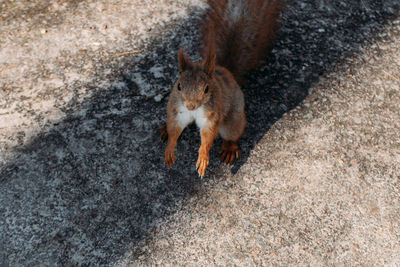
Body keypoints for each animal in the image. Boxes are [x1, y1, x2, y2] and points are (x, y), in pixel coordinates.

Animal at [158, 0, 282, 178]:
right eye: (179, 86)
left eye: (206, 89)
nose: (190, 106)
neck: (194, 111)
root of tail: (228, 72)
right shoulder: (177, 111)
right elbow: (175, 130)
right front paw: (169, 148)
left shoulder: (212, 115)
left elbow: (208, 136)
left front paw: (203, 157)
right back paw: (165, 129)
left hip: (233, 119)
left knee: (233, 132)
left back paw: (229, 148)